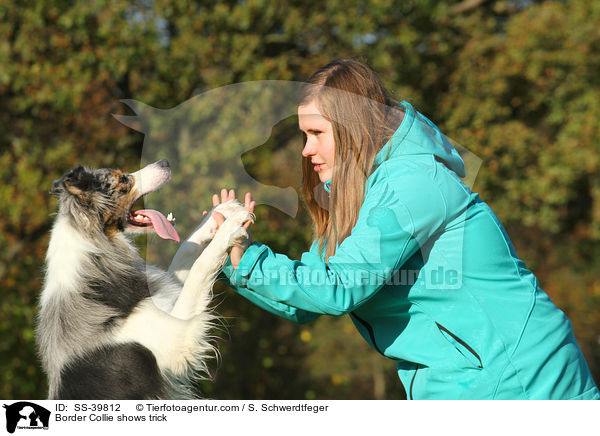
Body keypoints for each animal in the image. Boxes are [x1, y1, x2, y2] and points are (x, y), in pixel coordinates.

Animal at [37, 160, 253, 398]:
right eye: (123, 179)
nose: (164, 162)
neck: (95, 256)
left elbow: (187, 250)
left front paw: (220, 211)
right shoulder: (174, 341)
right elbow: (200, 267)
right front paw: (231, 225)